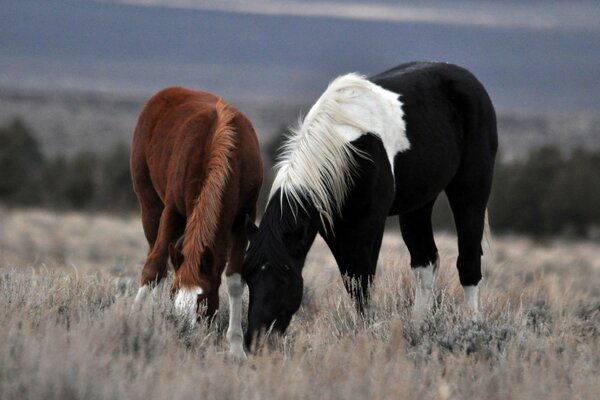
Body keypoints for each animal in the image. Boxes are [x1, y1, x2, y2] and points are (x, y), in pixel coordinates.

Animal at [131, 86, 262, 356]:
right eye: (174, 295)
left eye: (203, 299)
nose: (185, 334)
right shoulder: (172, 211)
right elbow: (153, 267)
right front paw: (134, 320)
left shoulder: (243, 217)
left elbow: (234, 279)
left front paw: (236, 347)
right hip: (150, 208)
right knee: (157, 259)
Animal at [243, 61, 496, 346]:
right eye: (248, 276)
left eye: (285, 275)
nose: (254, 340)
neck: (346, 148)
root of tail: (466, 77)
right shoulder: (336, 229)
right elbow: (352, 282)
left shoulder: (368, 224)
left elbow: (362, 282)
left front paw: (365, 333)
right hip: (419, 204)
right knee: (425, 262)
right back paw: (418, 329)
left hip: (470, 189)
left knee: (469, 262)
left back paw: (473, 329)